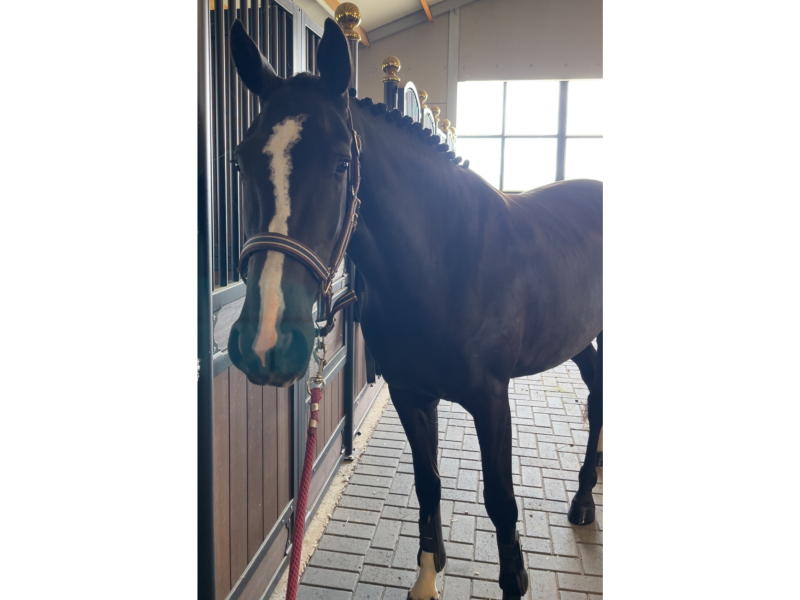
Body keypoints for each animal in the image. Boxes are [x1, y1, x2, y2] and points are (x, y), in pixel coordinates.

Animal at [226, 18, 602, 600]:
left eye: (341, 163)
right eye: (242, 160)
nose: (265, 341)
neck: (446, 265)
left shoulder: (491, 400)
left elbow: (501, 502)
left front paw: (514, 579)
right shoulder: (410, 393)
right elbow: (428, 483)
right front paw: (427, 577)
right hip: (579, 338)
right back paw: (585, 496)